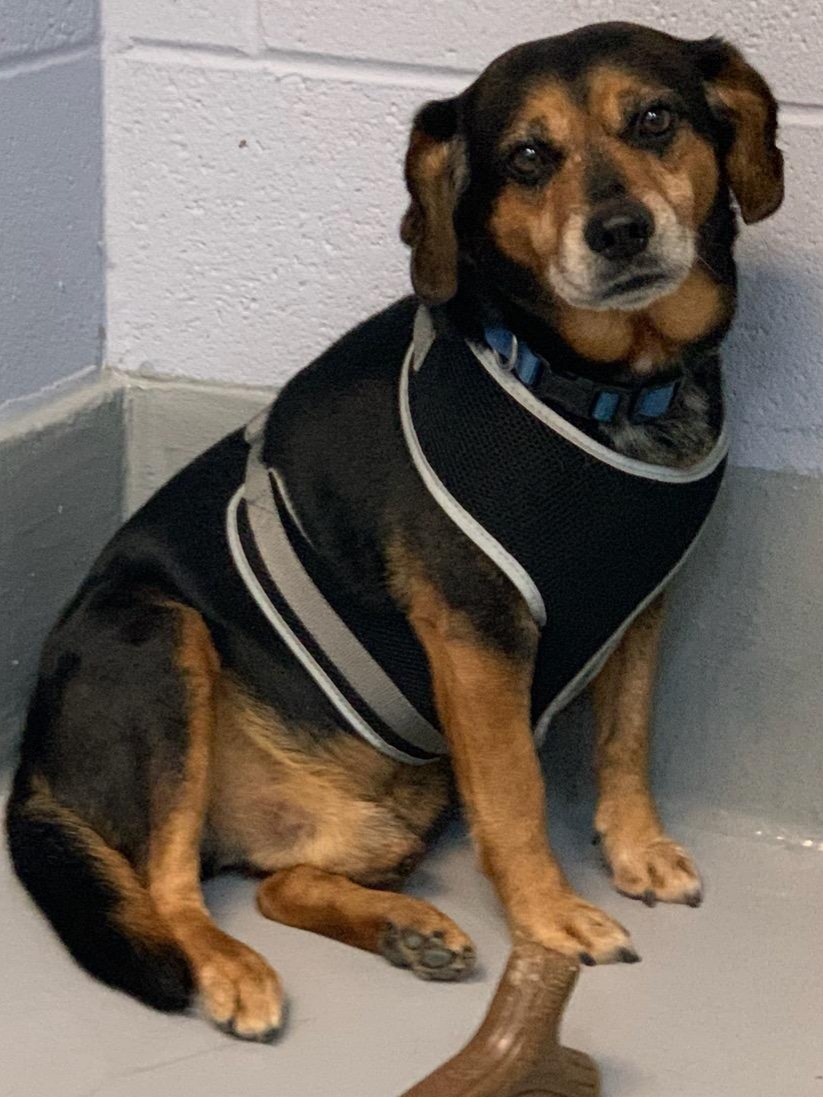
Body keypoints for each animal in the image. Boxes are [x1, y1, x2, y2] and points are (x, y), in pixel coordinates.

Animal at [6, 21, 785, 1039]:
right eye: (527, 158)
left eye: (654, 119)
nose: (619, 232)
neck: (605, 387)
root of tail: (34, 773)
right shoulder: (475, 635)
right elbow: (517, 795)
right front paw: (551, 914)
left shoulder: (639, 604)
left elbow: (627, 735)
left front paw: (637, 847)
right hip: (156, 634)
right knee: (171, 890)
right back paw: (230, 970)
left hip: (399, 798)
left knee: (277, 882)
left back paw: (406, 928)